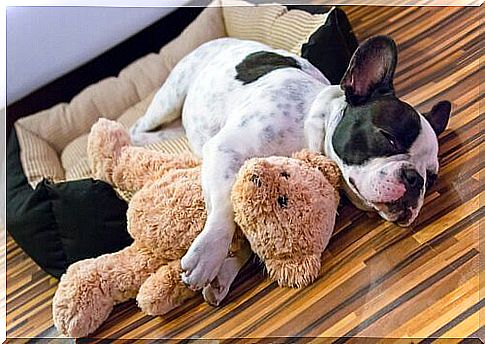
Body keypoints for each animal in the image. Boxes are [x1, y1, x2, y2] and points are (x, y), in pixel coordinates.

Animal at [130, 36, 450, 306]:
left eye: (431, 178)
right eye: (388, 137)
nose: (415, 180)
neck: (310, 122)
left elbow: (245, 228)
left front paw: (224, 272)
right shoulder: (225, 150)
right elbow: (224, 209)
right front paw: (209, 255)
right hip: (170, 97)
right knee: (139, 127)